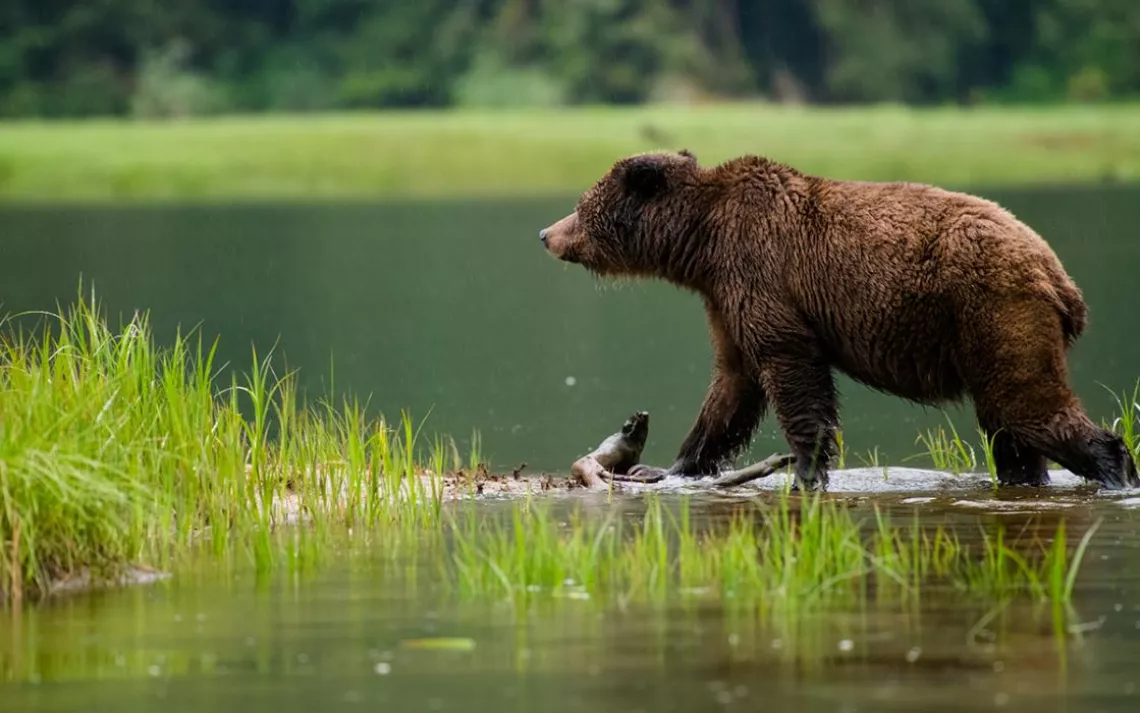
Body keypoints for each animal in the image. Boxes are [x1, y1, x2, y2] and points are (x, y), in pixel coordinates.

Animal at [538, 149, 1140, 492]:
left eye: (581, 204)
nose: (546, 233)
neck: (701, 244)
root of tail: (1060, 277)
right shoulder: (726, 297)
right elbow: (730, 387)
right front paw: (668, 467)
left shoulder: (762, 275)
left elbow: (790, 372)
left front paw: (804, 473)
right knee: (1007, 426)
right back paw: (1027, 478)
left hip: (994, 307)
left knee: (1026, 403)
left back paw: (1115, 470)